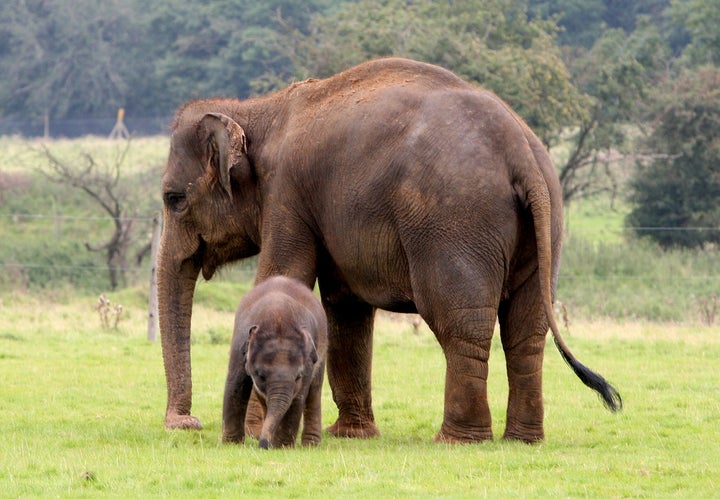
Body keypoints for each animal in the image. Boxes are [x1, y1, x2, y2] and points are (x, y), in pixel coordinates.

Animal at [222, 276, 330, 452]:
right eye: (260, 375)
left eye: (298, 376)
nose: (263, 445)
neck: (277, 317)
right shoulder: (239, 343)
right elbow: (235, 385)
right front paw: (231, 445)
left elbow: (298, 397)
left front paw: (282, 447)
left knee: (314, 390)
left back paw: (311, 445)